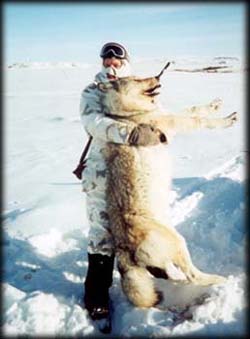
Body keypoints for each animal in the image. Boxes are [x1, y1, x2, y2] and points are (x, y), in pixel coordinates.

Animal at [96, 65, 237, 308]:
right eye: (137, 79)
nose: (157, 76)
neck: (130, 115)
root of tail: (123, 250)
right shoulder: (172, 123)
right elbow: (199, 120)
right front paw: (227, 120)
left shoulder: (170, 115)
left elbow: (195, 109)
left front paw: (215, 104)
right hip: (178, 242)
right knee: (193, 276)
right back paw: (219, 279)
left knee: (170, 275)